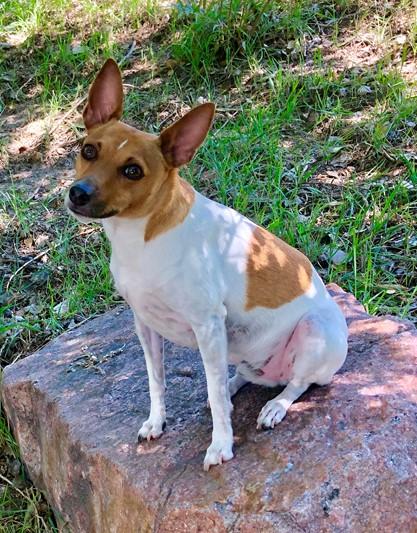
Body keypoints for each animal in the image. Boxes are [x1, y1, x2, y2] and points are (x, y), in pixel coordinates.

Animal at [66, 58, 348, 470]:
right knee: (238, 376)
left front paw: (221, 445)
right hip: (237, 350)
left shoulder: (207, 325)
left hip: (314, 331)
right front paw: (156, 421)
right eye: (88, 151)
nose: (78, 193)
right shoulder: (144, 323)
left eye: (133, 171)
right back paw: (235, 387)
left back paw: (275, 405)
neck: (141, 235)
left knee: (298, 383)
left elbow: (214, 397)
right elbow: (156, 379)